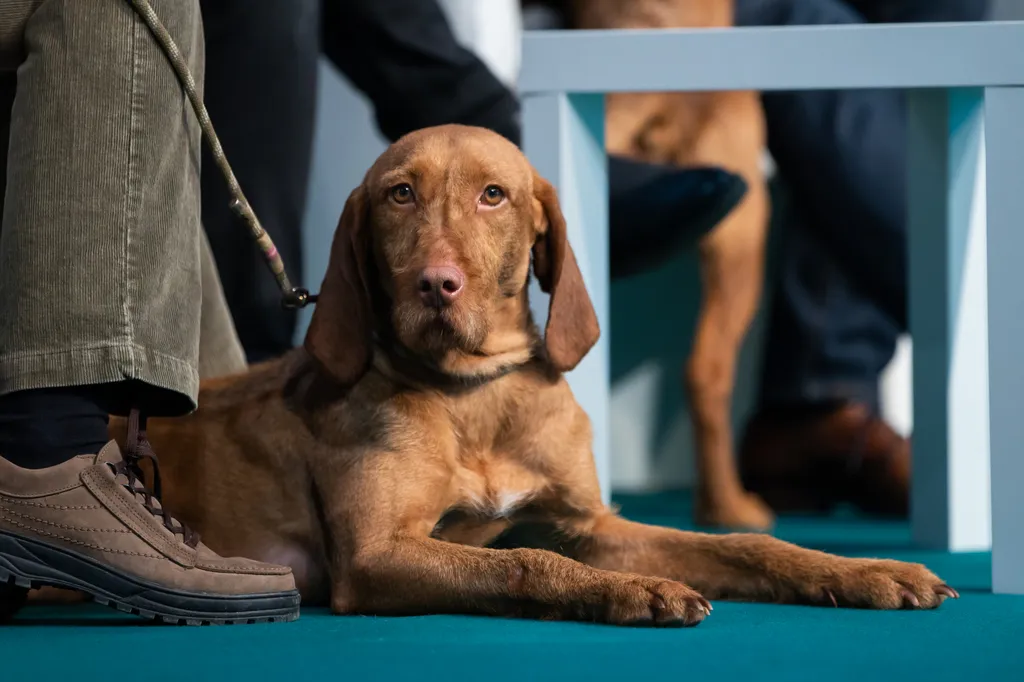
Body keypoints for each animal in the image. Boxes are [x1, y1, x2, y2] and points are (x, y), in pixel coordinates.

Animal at [96, 124, 958, 622]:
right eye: (399, 195)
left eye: (493, 195)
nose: (436, 285)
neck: (476, 396)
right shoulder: (378, 554)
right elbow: (521, 559)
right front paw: (627, 594)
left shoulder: (591, 525)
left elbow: (746, 546)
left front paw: (863, 570)